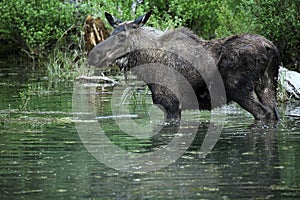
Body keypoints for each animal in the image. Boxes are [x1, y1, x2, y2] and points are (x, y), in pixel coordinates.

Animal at [88, 10, 280, 121]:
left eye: (121, 37)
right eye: (110, 33)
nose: (94, 56)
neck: (145, 64)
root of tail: (271, 48)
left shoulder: (171, 103)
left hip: (239, 89)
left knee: (263, 113)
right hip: (267, 84)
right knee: (273, 113)